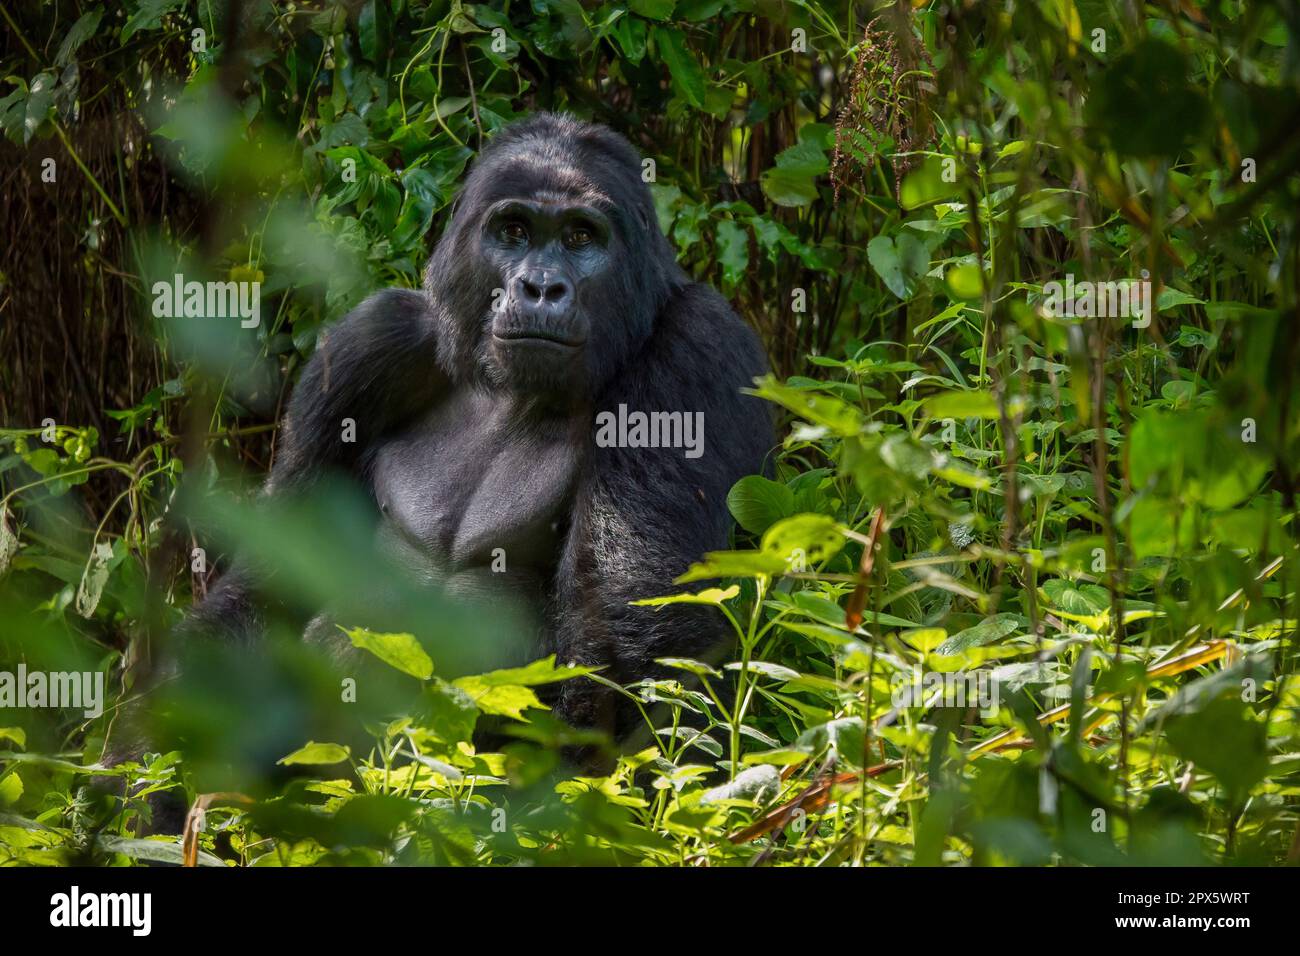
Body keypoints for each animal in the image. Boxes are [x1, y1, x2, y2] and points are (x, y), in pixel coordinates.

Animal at [165, 110, 769, 738]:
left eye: (581, 237)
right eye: (514, 231)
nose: (541, 288)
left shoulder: (695, 346)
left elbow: (641, 654)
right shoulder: (370, 341)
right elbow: (272, 581)